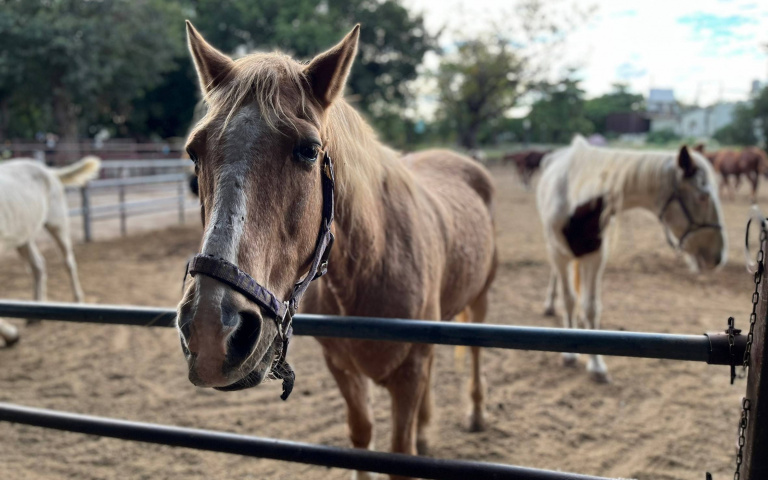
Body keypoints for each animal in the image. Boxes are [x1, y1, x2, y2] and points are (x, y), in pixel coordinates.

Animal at [0, 156, 100, 345]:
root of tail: (49, 171)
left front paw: (10, 335)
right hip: (24, 235)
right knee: (38, 266)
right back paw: (35, 313)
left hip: (57, 223)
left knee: (68, 261)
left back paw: (78, 300)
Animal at [176, 23, 497, 480]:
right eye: (194, 151)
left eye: (309, 150)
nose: (210, 331)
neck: (372, 267)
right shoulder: (344, 370)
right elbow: (361, 436)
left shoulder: (409, 374)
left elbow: (399, 452)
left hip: (480, 301)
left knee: (474, 352)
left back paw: (475, 414)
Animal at [537, 136, 726, 383]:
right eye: (703, 196)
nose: (718, 256)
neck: (576, 201)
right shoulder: (559, 254)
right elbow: (569, 300)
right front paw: (569, 354)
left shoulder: (595, 256)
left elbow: (590, 307)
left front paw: (596, 364)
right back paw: (549, 303)